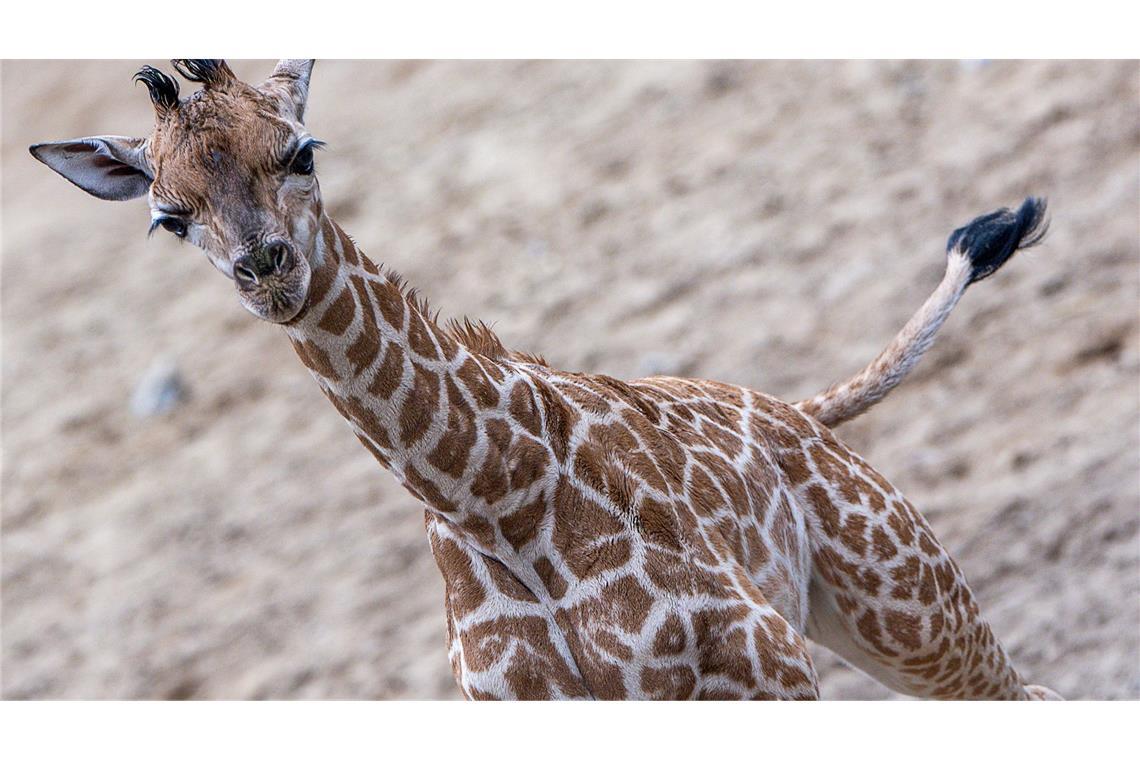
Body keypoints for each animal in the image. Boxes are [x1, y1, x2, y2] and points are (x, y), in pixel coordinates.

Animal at [31, 59, 1062, 701]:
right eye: (168, 216)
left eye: (301, 150)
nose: (267, 269)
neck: (498, 499)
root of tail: (790, 409)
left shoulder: (765, 667)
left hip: (901, 600)